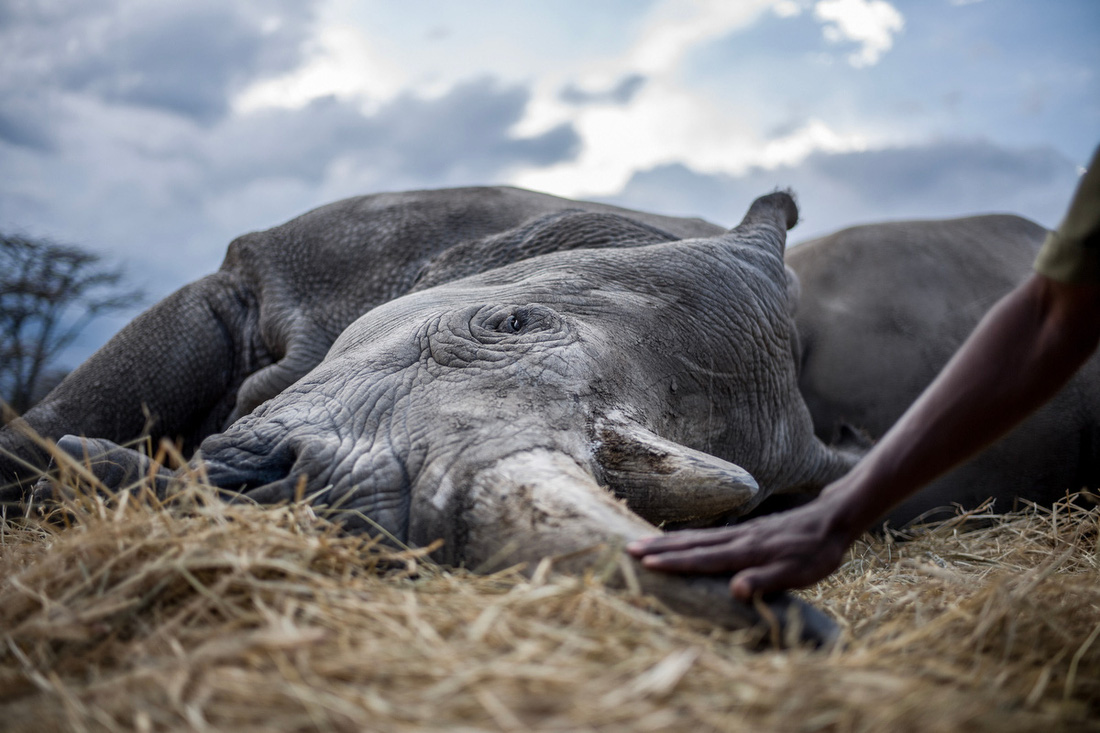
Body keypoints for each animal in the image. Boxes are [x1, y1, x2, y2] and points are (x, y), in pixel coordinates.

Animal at [2, 189, 849, 647]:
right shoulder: (266, 272)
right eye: (508, 322)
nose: (326, 510)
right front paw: (67, 463)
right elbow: (68, 411)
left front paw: (100, 471)